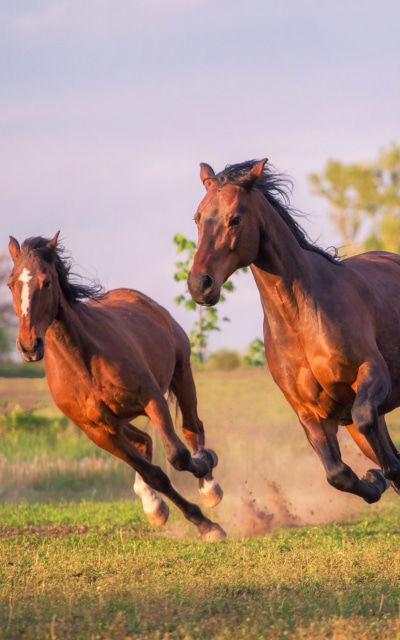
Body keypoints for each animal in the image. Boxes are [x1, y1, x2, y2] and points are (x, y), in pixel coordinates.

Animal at [8, 233, 225, 541]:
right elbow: (155, 474)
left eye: (46, 281)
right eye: (11, 283)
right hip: (119, 420)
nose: (29, 345)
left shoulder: (152, 399)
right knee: (144, 440)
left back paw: (209, 487)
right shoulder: (98, 432)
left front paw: (206, 491)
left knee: (192, 427)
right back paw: (153, 505)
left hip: (181, 373)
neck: (84, 363)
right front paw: (201, 523)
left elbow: (178, 456)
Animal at [188, 157, 400, 505]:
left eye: (235, 218)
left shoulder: (373, 373)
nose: (199, 285)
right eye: (197, 218)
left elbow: (367, 419)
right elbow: (338, 473)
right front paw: (375, 479)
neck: (300, 319)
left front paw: (387, 472)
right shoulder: (310, 412)